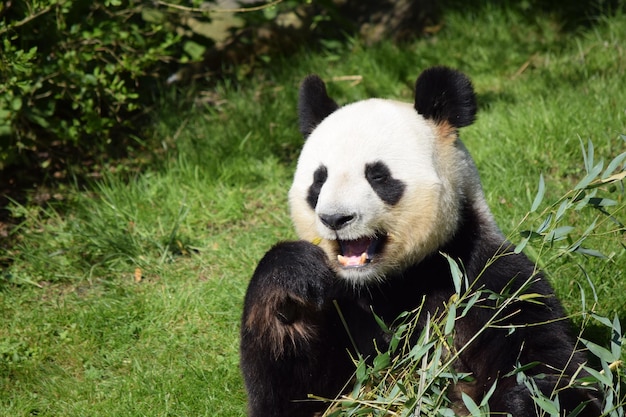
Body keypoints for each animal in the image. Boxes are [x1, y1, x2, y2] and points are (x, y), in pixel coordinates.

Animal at [236, 66, 596, 414]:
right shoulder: (341, 304)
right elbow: (297, 395)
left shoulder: (486, 283)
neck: (391, 281)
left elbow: (549, 365)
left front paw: (524, 399)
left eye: (377, 175)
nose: (335, 219)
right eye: (319, 180)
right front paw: (293, 282)